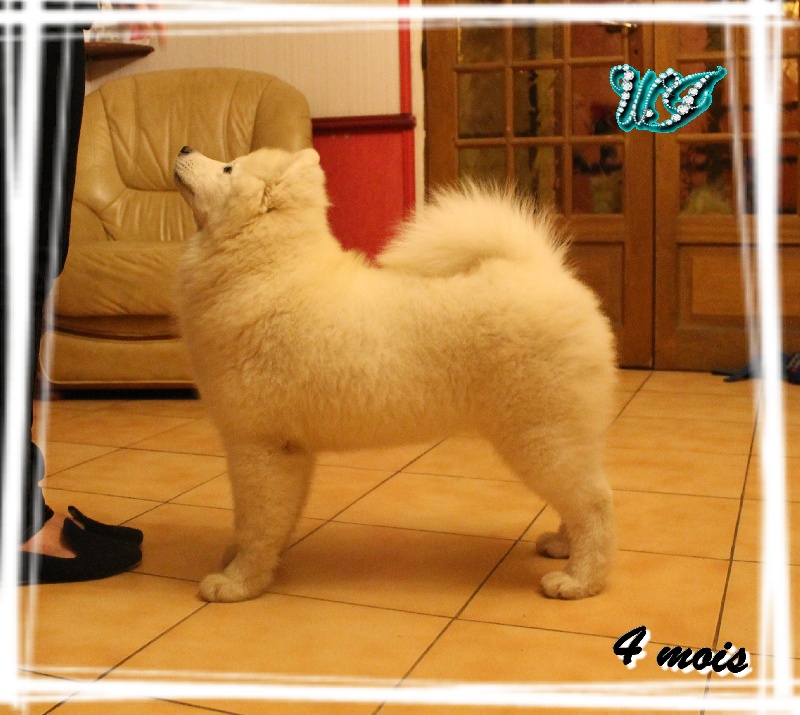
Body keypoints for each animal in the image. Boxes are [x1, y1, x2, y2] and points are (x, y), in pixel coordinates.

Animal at [173, 145, 617, 603]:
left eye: (228, 168)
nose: (185, 148)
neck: (266, 274)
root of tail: (545, 273)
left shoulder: (260, 446)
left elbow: (256, 522)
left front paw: (239, 582)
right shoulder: (289, 449)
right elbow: (273, 521)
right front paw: (248, 561)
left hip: (541, 436)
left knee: (595, 503)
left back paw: (580, 579)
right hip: (555, 437)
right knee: (582, 499)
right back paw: (564, 546)